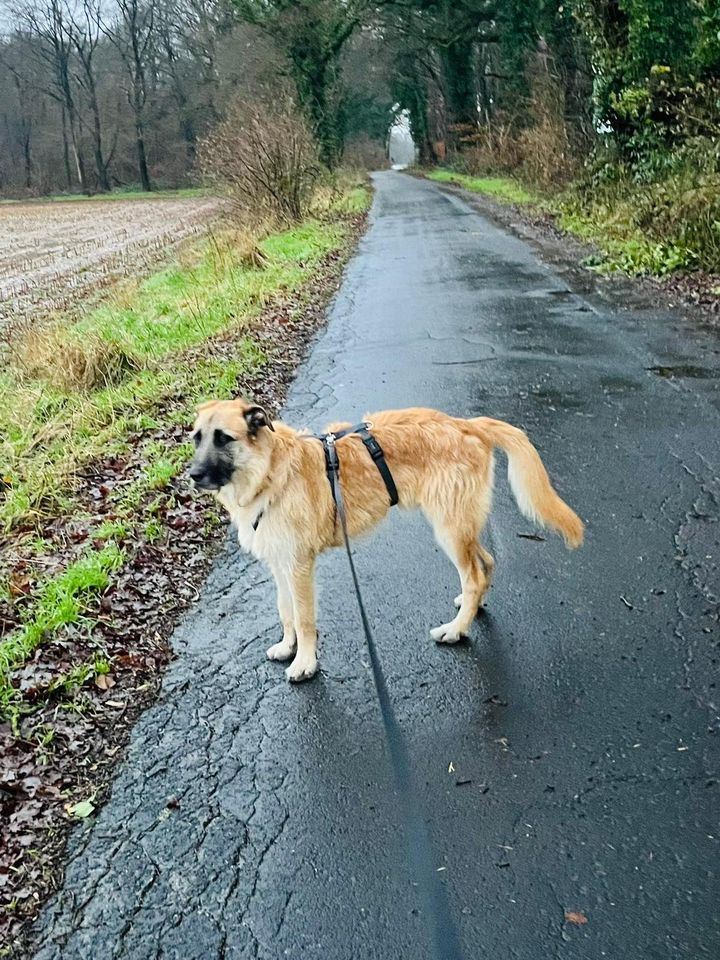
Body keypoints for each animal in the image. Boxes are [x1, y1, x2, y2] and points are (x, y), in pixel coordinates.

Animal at [188, 398, 584, 684]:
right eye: (196, 437)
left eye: (223, 438)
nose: (191, 475)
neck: (270, 471)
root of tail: (466, 425)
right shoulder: (280, 564)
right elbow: (286, 612)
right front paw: (288, 647)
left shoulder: (300, 567)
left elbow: (304, 618)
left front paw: (305, 663)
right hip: (461, 525)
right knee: (484, 563)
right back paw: (469, 609)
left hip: (449, 529)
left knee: (473, 574)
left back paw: (456, 630)